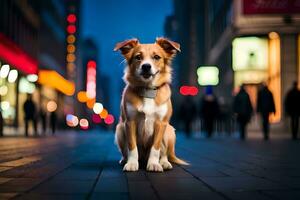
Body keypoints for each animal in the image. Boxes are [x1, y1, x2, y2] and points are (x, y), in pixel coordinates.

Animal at [113, 38, 186, 172]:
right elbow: (132, 147)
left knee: (164, 153)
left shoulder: (161, 123)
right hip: (119, 129)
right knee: (126, 151)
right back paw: (125, 159)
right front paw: (132, 163)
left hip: (169, 131)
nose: (146, 66)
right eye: (138, 57)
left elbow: (155, 148)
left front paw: (154, 164)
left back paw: (164, 162)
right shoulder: (129, 122)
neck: (147, 90)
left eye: (156, 57)